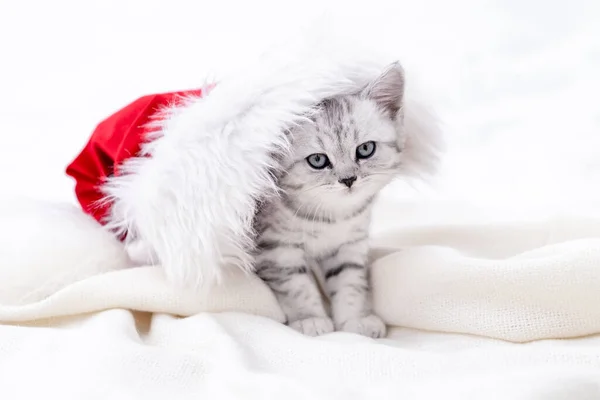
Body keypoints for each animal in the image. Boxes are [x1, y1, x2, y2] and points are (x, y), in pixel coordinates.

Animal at [251, 63, 406, 338]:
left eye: (365, 149)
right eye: (317, 160)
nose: (348, 179)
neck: (332, 216)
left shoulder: (350, 244)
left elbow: (349, 284)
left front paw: (355, 320)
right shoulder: (276, 249)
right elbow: (297, 286)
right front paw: (310, 319)